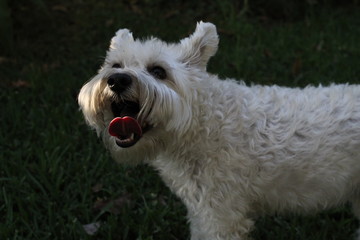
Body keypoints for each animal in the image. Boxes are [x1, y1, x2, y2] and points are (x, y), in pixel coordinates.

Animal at [79, 21, 360, 239]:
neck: (202, 123)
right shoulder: (201, 212)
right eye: (115, 65)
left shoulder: (222, 215)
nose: (118, 80)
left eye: (158, 71)